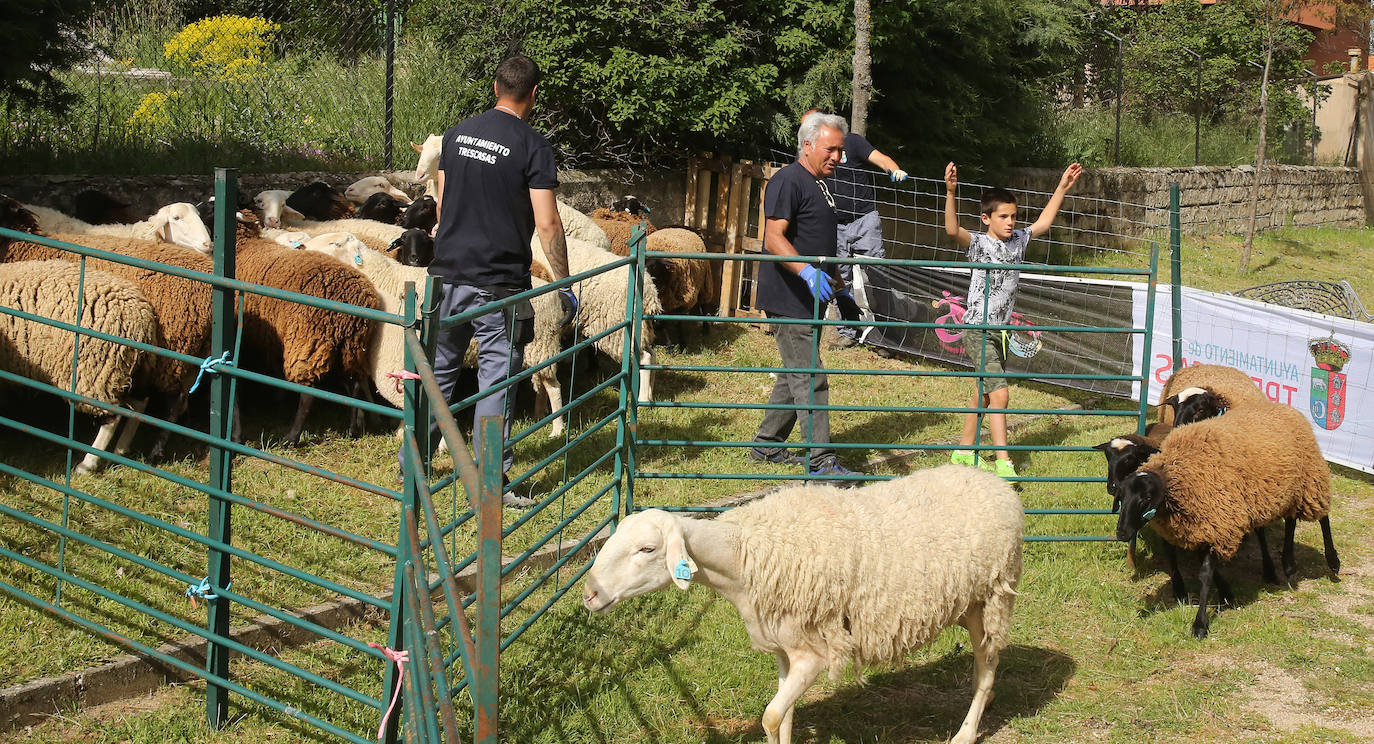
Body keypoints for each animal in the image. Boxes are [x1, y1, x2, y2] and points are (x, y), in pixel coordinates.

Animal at [585, 464, 1027, 742]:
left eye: (647, 549)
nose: (589, 593)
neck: (744, 554)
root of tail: (994, 483)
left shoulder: (814, 655)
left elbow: (770, 716)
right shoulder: (785, 652)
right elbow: (783, 719)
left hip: (992, 598)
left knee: (986, 669)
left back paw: (966, 732)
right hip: (969, 605)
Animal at [1121, 401, 1335, 638]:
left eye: (1147, 498)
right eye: (1122, 496)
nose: (1121, 532)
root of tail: (1288, 409)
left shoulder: (1220, 525)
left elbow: (1205, 574)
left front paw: (1200, 624)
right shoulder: (1205, 527)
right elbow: (1209, 569)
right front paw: (1226, 594)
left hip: (1311, 479)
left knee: (1323, 517)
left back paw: (1333, 562)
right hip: (1290, 490)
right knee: (1291, 522)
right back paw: (1288, 566)